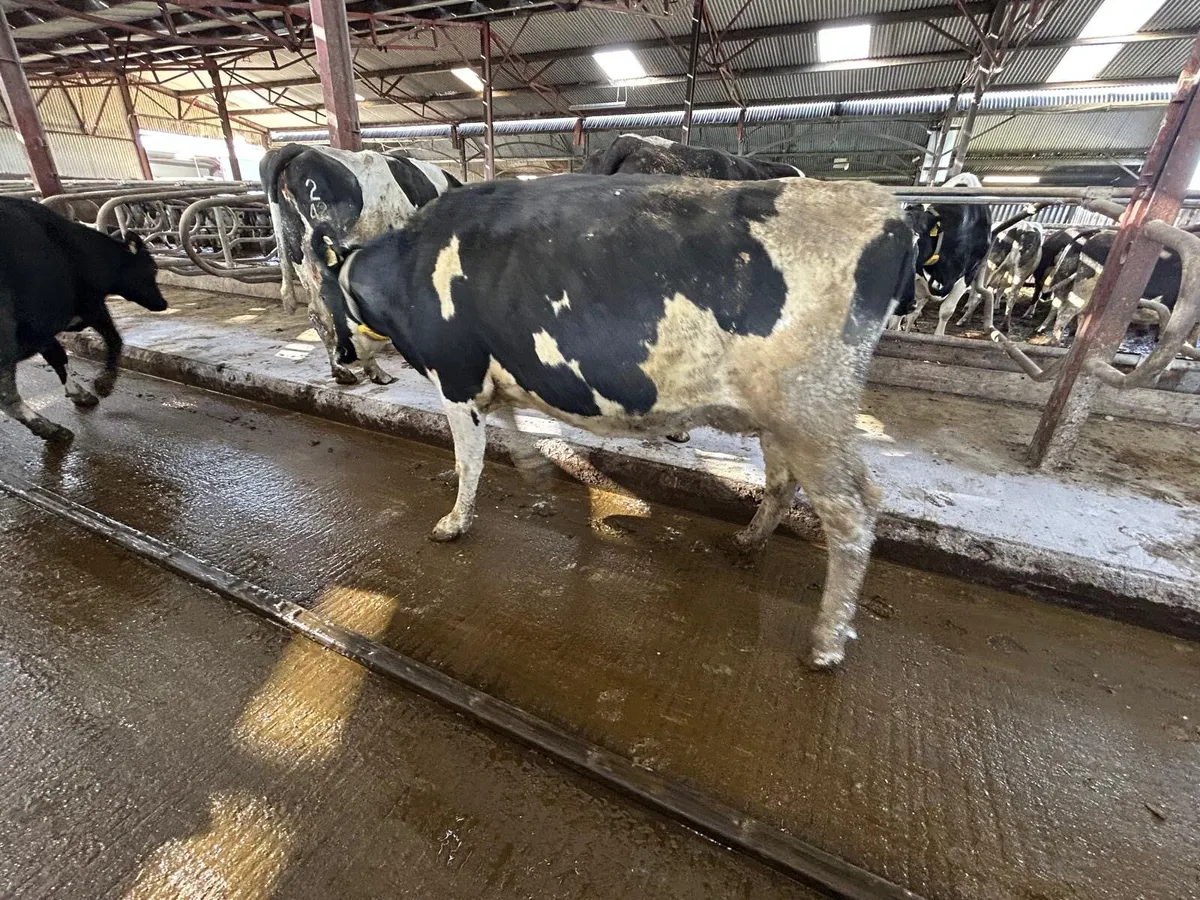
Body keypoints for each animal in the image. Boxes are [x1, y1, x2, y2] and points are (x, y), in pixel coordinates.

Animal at [0, 197, 168, 443]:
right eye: (152, 268)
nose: (163, 303)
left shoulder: (42, 330)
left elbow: (58, 357)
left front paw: (80, 394)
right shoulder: (89, 306)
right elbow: (114, 338)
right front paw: (104, 383)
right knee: (7, 395)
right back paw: (51, 430)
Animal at [313, 174, 917, 669]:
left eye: (321, 300)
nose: (341, 360)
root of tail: (885, 206)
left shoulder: (456, 376)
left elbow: (470, 459)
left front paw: (454, 523)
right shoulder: (493, 373)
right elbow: (512, 432)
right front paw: (536, 477)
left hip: (813, 413)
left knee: (853, 513)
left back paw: (826, 644)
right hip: (787, 420)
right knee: (791, 483)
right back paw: (748, 541)